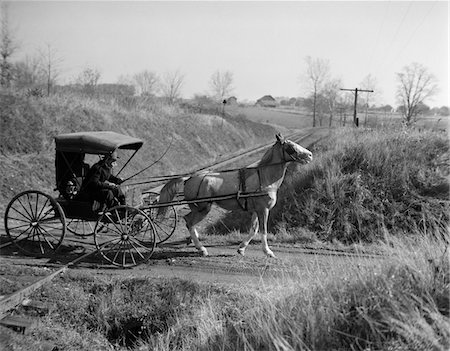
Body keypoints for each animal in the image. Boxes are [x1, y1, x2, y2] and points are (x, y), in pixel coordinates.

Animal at [158, 133, 312, 258]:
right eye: (291, 147)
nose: (310, 155)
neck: (263, 177)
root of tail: (189, 178)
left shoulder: (256, 210)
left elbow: (254, 230)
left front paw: (241, 249)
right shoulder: (263, 209)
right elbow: (263, 231)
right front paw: (268, 252)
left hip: (199, 208)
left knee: (189, 222)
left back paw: (195, 243)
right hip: (203, 208)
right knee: (189, 222)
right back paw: (201, 248)